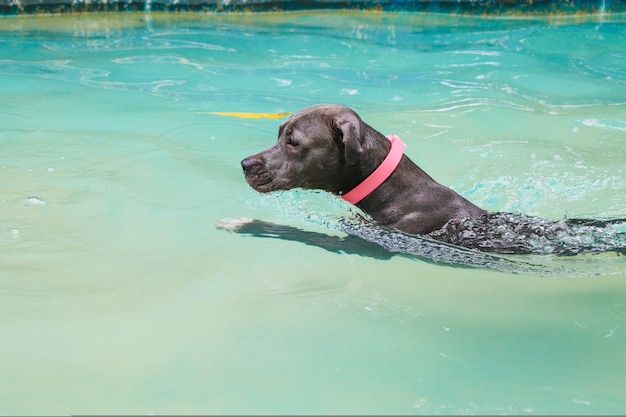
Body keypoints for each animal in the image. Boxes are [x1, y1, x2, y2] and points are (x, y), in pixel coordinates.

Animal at [240, 103, 624, 254]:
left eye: (293, 142)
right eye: (278, 132)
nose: (244, 163)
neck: (395, 191)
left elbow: (307, 235)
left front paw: (249, 224)